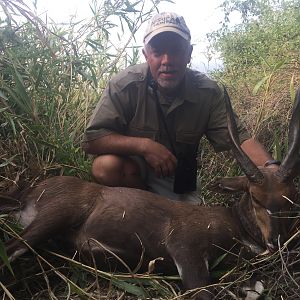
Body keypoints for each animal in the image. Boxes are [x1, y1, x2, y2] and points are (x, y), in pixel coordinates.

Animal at [0, 89, 300, 300]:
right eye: (256, 197)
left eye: (291, 199)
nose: (276, 242)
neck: (236, 226)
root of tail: (31, 190)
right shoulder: (184, 245)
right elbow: (202, 292)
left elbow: (254, 288)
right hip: (58, 212)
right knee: (11, 249)